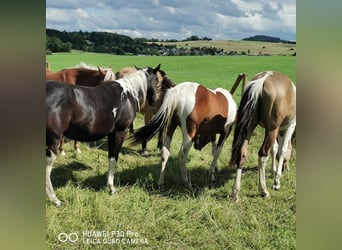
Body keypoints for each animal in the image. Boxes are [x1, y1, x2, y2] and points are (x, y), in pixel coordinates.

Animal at [45, 64, 162, 207]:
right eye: (157, 81)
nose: (154, 101)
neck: (127, 94)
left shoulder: (111, 135)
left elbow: (110, 158)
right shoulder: (120, 133)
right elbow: (114, 158)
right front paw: (111, 188)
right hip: (53, 141)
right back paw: (55, 200)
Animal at [228, 70, 296, 201]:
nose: (287, 168)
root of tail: (262, 80)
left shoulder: (275, 130)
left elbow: (274, 149)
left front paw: (274, 171)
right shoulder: (289, 127)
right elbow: (282, 150)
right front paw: (276, 181)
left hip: (250, 127)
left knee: (242, 153)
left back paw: (235, 192)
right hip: (272, 129)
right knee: (263, 154)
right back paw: (264, 190)